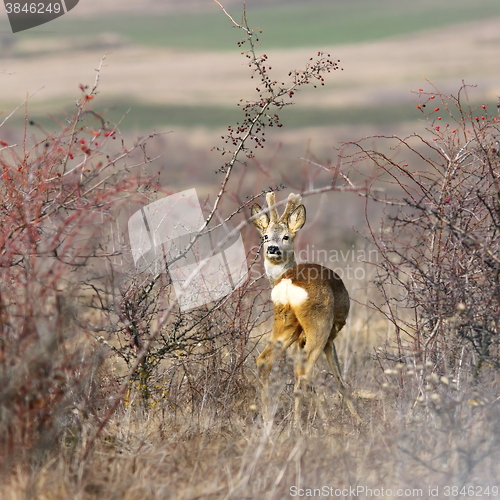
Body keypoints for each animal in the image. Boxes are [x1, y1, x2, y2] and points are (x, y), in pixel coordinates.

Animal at [250, 191, 360, 422]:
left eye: (286, 237)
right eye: (265, 236)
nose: (272, 248)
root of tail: (287, 282)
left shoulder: (298, 339)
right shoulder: (329, 338)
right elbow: (339, 379)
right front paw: (357, 419)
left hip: (285, 322)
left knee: (264, 360)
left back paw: (268, 417)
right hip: (319, 323)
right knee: (305, 369)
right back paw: (312, 424)